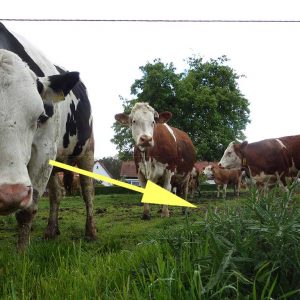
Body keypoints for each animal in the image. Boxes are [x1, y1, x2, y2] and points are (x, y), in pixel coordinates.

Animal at [0, 22, 96, 248]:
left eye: (40, 116)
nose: (11, 195)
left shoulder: (44, 150)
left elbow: (27, 212)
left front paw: (21, 255)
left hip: (86, 150)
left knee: (87, 191)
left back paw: (90, 232)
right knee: (56, 193)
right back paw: (52, 230)